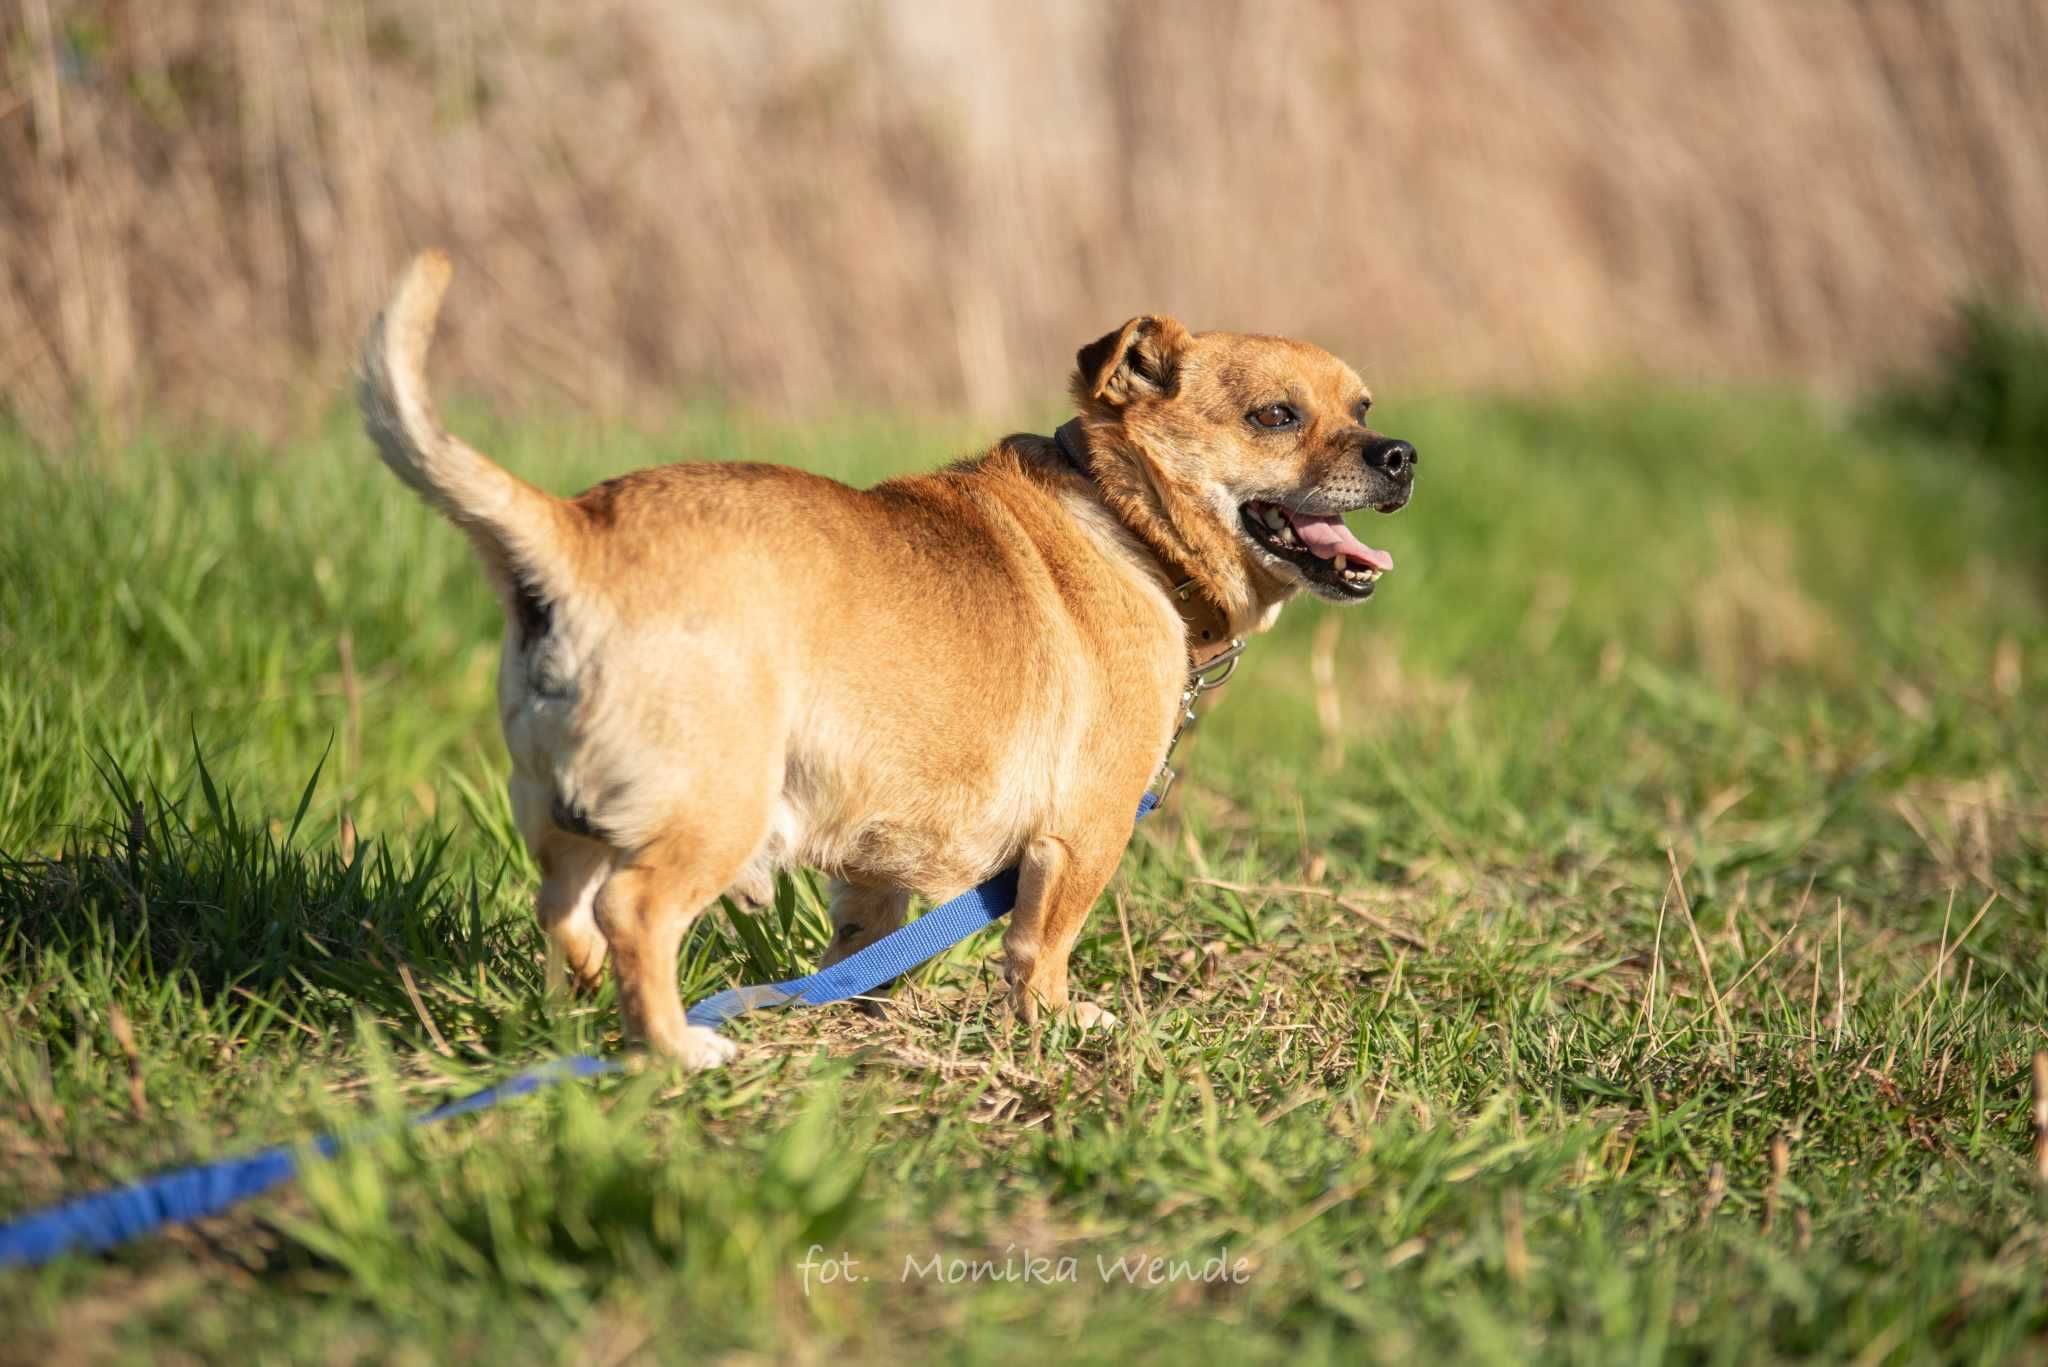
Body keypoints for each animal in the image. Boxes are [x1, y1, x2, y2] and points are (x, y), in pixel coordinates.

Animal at [356, 254, 1409, 1065]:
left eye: (1362, 406)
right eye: (1277, 417)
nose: (1400, 454)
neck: (1125, 523)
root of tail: (578, 533)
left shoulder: (873, 860)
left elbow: (861, 944)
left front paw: (856, 1016)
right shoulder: (1084, 832)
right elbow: (1041, 946)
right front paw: (1055, 1027)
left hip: (561, 808)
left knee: (567, 910)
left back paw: (589, 1015)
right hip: (716, 807)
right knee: (635, 912)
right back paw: (676, 1048)